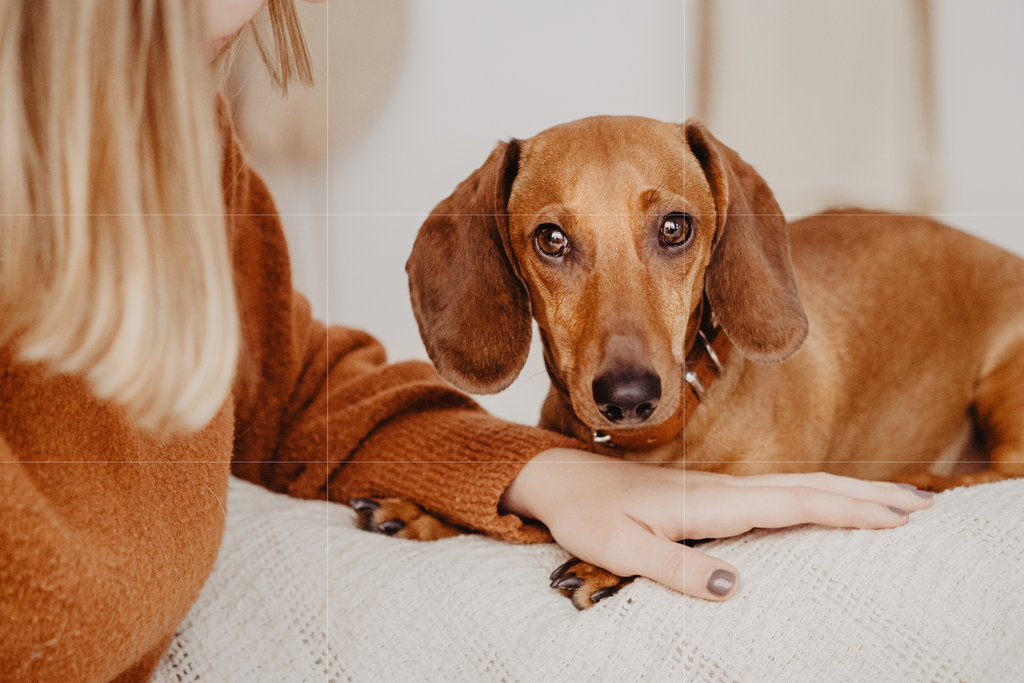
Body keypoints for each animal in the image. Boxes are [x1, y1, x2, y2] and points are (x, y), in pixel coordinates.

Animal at [354, 116, 1024, 610]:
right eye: (551, 239)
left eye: (675, 227)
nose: (627, 396)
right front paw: (417, 508)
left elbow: (722, 511)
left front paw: (599, 563)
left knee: (1000, 471)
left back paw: (917, 480)